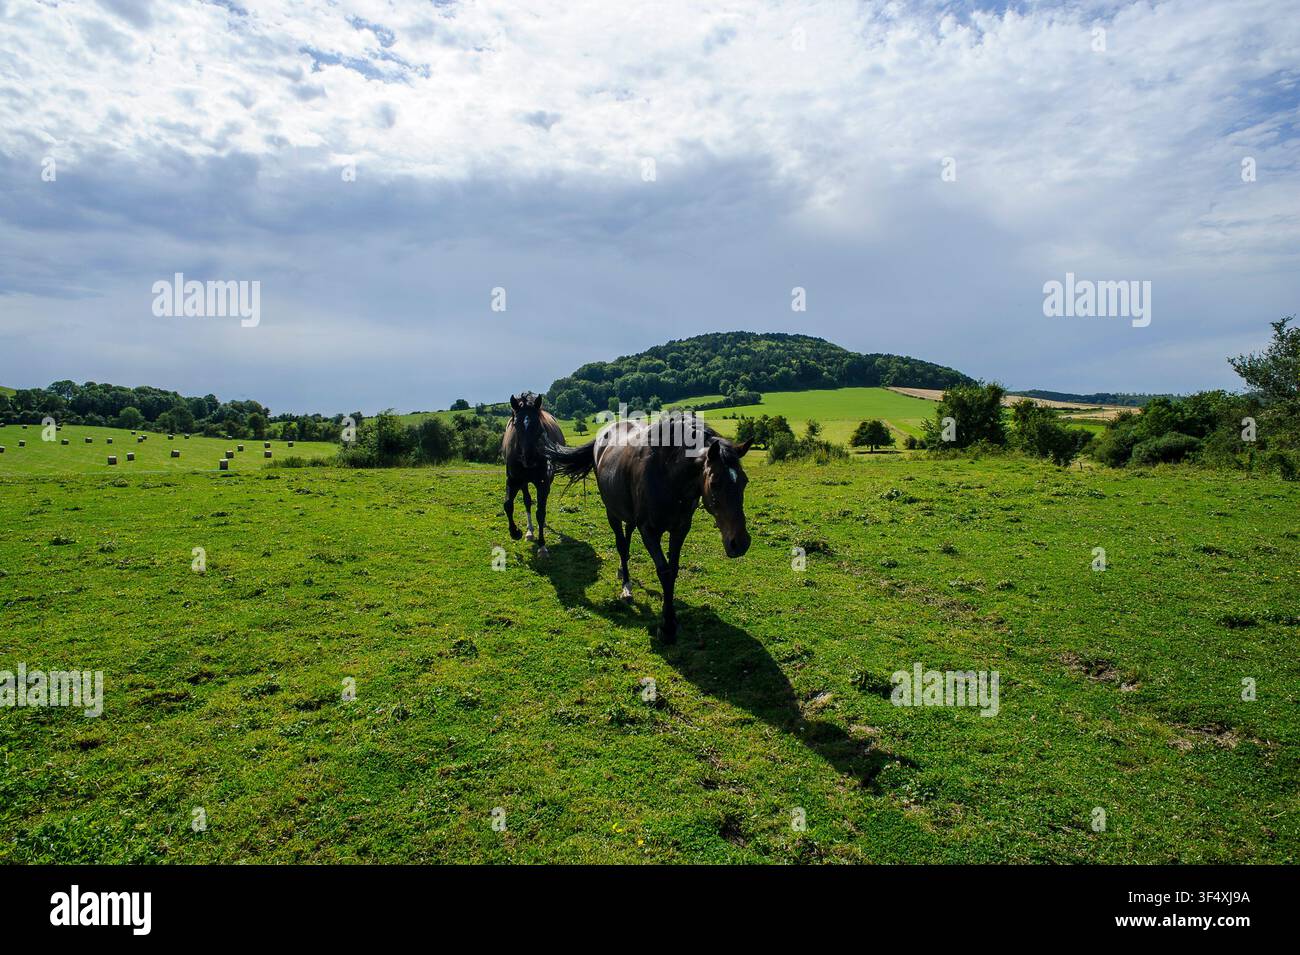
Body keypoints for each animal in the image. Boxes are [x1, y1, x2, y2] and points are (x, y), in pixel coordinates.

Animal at [501, 392, 564, 557]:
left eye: (537, 425)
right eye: (516, 425)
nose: (528, 458)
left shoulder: (543, 482)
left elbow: (540, 512)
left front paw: (542, 546)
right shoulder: (513, 480)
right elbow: (508, 505)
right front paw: (515, 532)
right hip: (523, 482)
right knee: (527, 501)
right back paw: (529, 531)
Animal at [545, 412, 751, 641]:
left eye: (744, 481)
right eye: (714, 483)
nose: (740, 543)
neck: (668, 476)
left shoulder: (680, 528)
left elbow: (673, 569)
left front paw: (671, 620)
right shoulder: (649, 531)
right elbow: (664, 572)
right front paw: (667, 626)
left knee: (627, 536)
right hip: (612, 512)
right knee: (621, 545)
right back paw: (626, 586)